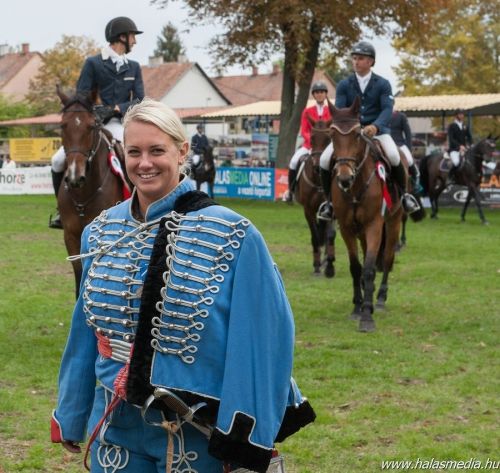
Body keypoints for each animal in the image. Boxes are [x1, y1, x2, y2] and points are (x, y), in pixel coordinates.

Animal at [294, 117, 336, 277]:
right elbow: (315, 236)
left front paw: (329, 266)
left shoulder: (331, 210)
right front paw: (317, 265)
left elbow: (330, 235)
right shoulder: (308, 210)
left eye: (329, 138)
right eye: (311, 138)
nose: (318, 167)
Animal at [327, 97, 407, 332]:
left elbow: (370, 268)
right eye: (331, 135)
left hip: (393, 222)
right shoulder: (346, 227)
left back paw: (379, 299)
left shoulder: (374, 226)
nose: (344, 178)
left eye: (356, 134)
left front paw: (367, 317)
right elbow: (356, 267)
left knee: (387, 259)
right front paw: (357, 307)